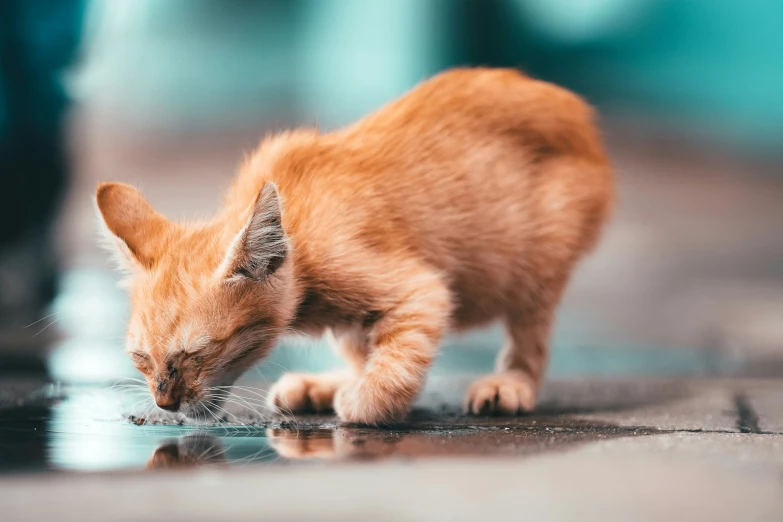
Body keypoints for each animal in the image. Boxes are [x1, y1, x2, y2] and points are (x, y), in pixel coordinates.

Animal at [96, 68, 612, 422]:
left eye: (196, 355)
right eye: (141, 359)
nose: (164, 402)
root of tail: (577, 116)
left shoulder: (420, 289)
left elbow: (399, 354)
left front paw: (366, 398)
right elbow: (367, 342)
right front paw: (350, 380)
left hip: (536, 261)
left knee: (530, 332)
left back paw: (512, 383)